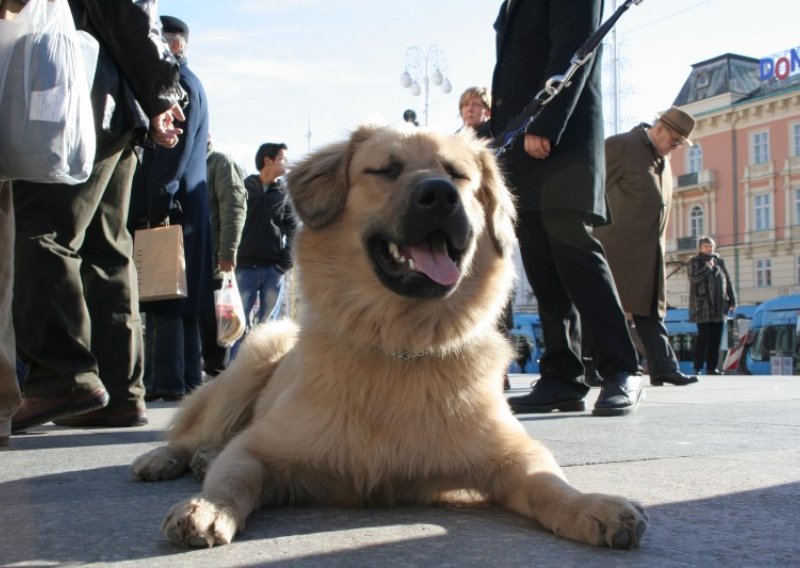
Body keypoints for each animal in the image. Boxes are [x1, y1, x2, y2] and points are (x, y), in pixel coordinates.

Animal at [130, 125, 644, 552]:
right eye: (386, 170)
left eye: (458, 176)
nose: (440, 195)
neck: (402, 344)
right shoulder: (259, 448)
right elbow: (234, 477)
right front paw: (209, 507)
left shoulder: (513, 455)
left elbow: (547, 483)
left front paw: (591, 506)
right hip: (255, 355)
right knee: (194, 433)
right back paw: (166, 457)